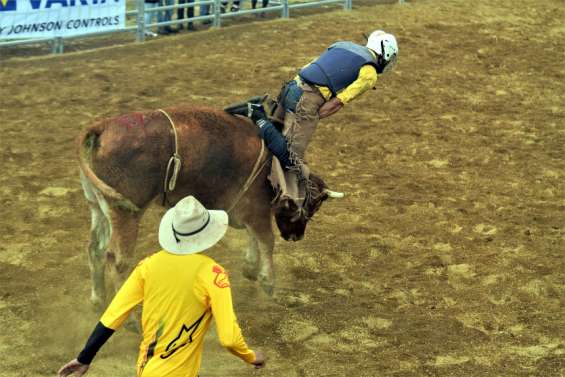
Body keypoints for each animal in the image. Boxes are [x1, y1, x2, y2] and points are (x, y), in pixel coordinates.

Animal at [77, 105, 328, 302]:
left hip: (98, 206)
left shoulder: (248, 212)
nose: (296, 237)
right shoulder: (256, 209)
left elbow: (253, 237)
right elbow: (266, 240)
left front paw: (250, 267)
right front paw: (268, 281)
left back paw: (98, 300)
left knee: (95, 249)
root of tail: (102, 127)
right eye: (311, 207)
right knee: (117, 261)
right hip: (126, 214)